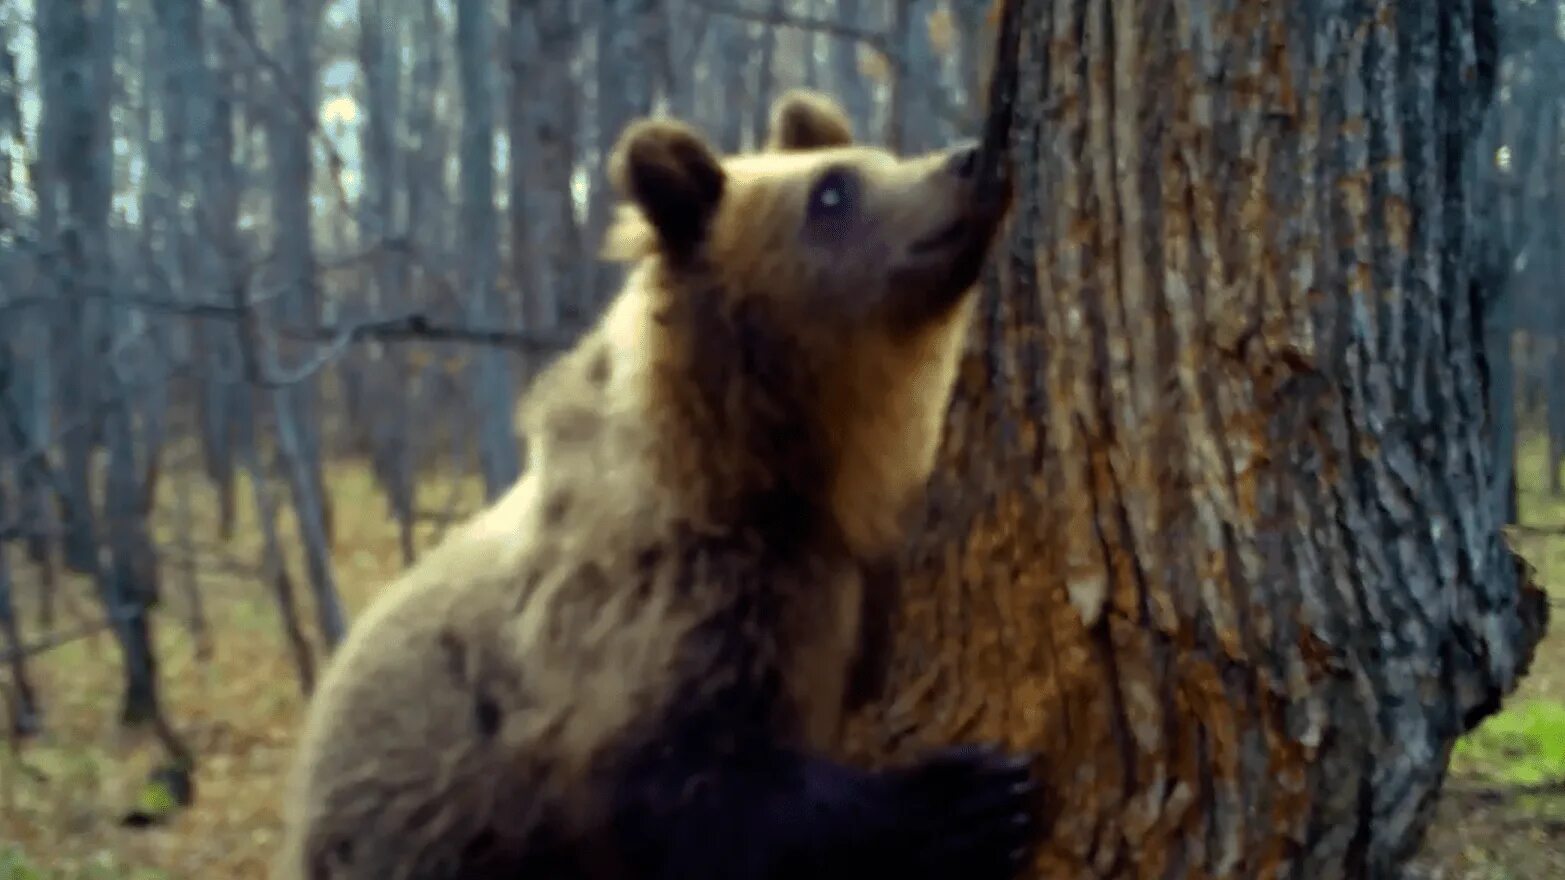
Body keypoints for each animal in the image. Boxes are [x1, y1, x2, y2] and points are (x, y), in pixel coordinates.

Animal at [278, 89, 1039, 876]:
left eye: (879, 156)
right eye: (831, 190)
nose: (970, 159)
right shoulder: (667, 608)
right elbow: (693, 789)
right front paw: (965, 798)